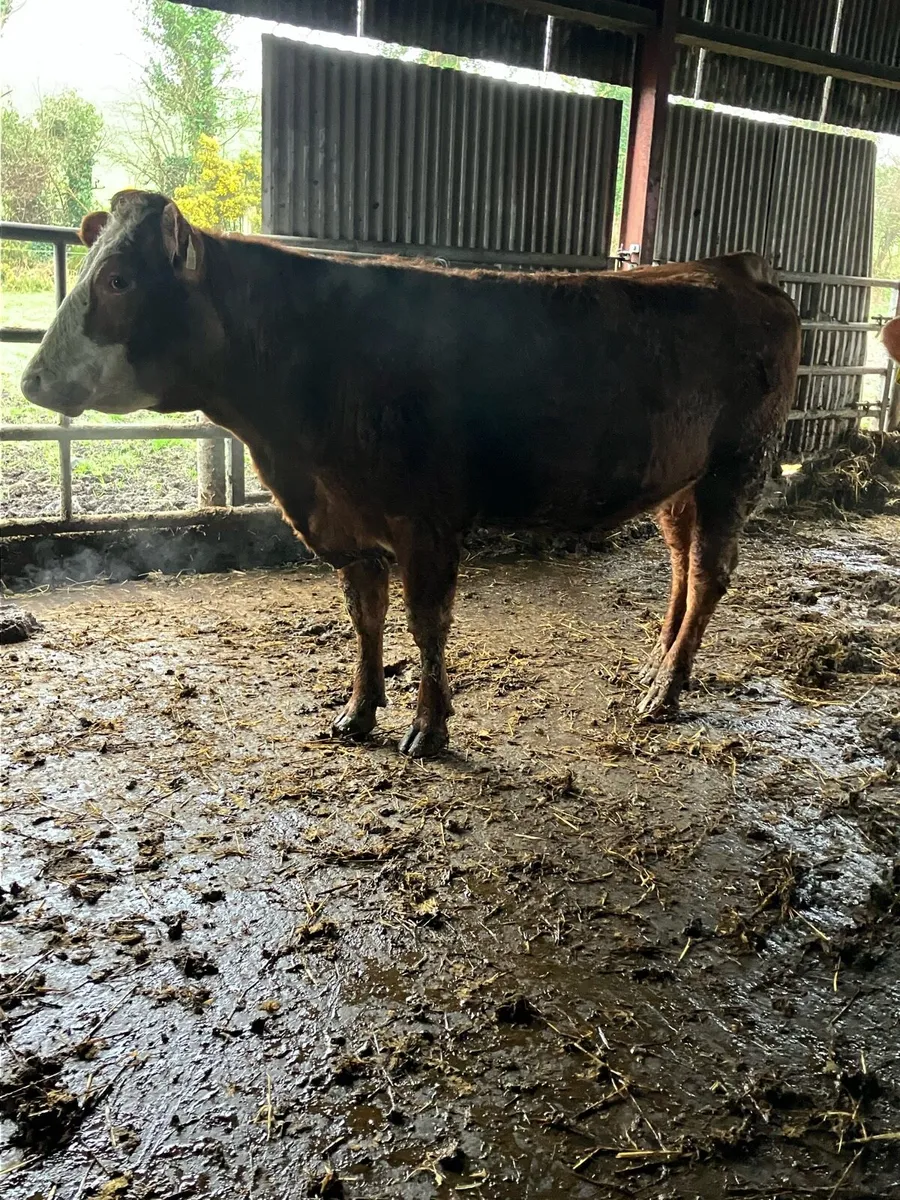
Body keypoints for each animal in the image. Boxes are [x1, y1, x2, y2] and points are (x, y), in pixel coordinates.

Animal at [21, 190, 801, 757]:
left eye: (119, 279)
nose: (30, 380)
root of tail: (734, 264)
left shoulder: (426, 519)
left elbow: (427, 624)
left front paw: (429, 727)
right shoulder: (345, 522)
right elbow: (365, 618)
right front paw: (358, 711)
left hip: (739, 464)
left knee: (709, 574)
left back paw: (666, 692)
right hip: (679, 481)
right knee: (680, 567)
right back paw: (656, 666)